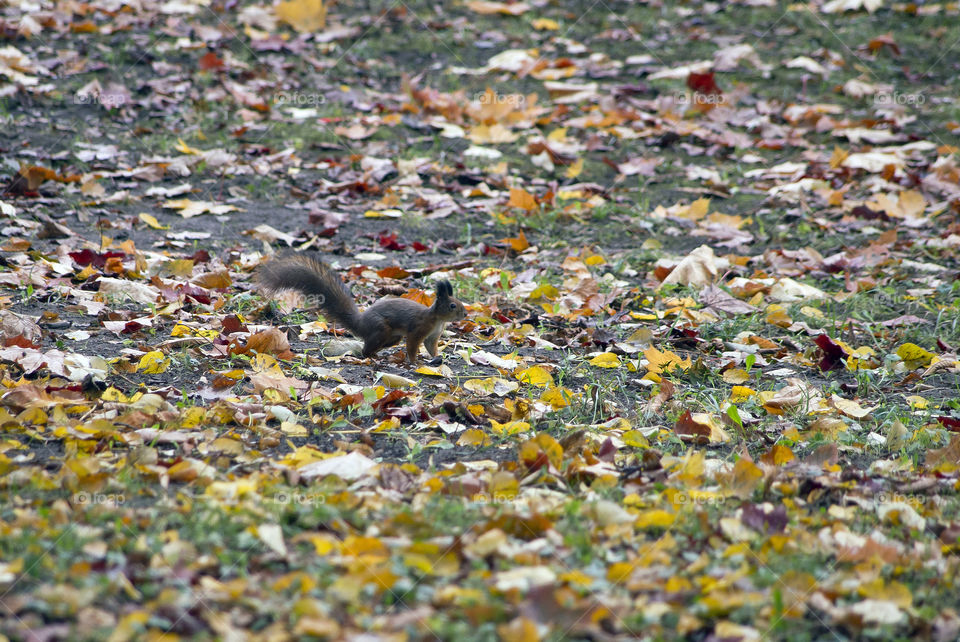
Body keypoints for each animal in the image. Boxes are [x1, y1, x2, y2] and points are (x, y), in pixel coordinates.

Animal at [256, 254, 466, 363]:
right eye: (452, 305)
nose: (465, 314)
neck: (437, 320)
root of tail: (361, 324)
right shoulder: (419, 328)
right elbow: (413, 345)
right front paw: (415, 362)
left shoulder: (433, 336)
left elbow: (431, 347)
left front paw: (439, 357)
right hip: (381, 329)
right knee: (365, 349)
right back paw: (372, 356)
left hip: (392, 337)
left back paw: (378, 354)